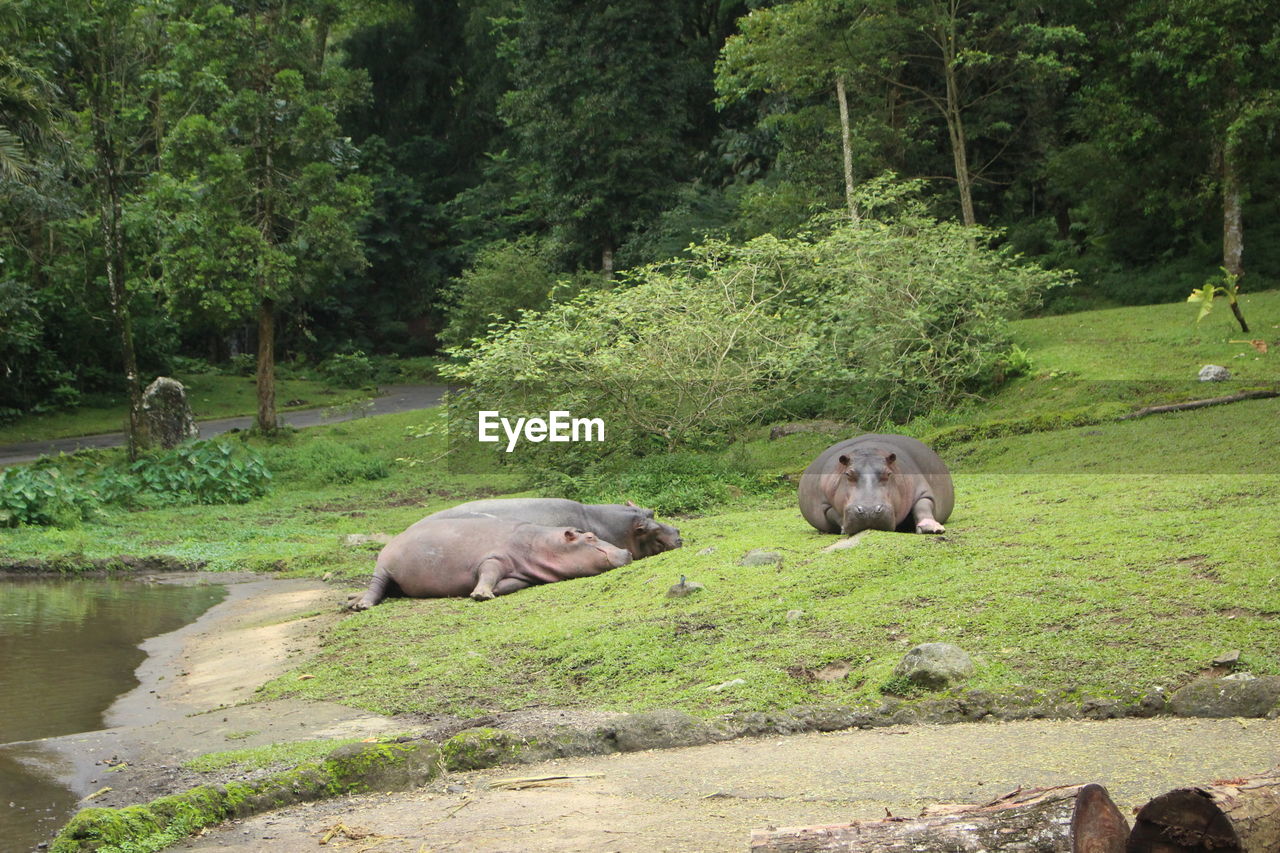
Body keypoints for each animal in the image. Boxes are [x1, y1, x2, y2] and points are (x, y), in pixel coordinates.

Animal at [348, 514, 632, 607]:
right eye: (591, 537)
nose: (627, 552)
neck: (542, 543)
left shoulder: (522, 575)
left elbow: (512, 583)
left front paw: (488, 591)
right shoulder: (493, 557)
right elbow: (488, 571)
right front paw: (481, 594)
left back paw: (351, 599)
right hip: (384, 567)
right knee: (376, 585)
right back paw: (361, 605)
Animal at [798, 435, 952, 535]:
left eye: (888, 474)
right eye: (848, 474)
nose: (869, 511)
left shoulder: (921, 489)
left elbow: (923, 505)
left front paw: (932, 528)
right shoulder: (823, 504)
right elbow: (833, 513)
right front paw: (843, 529)